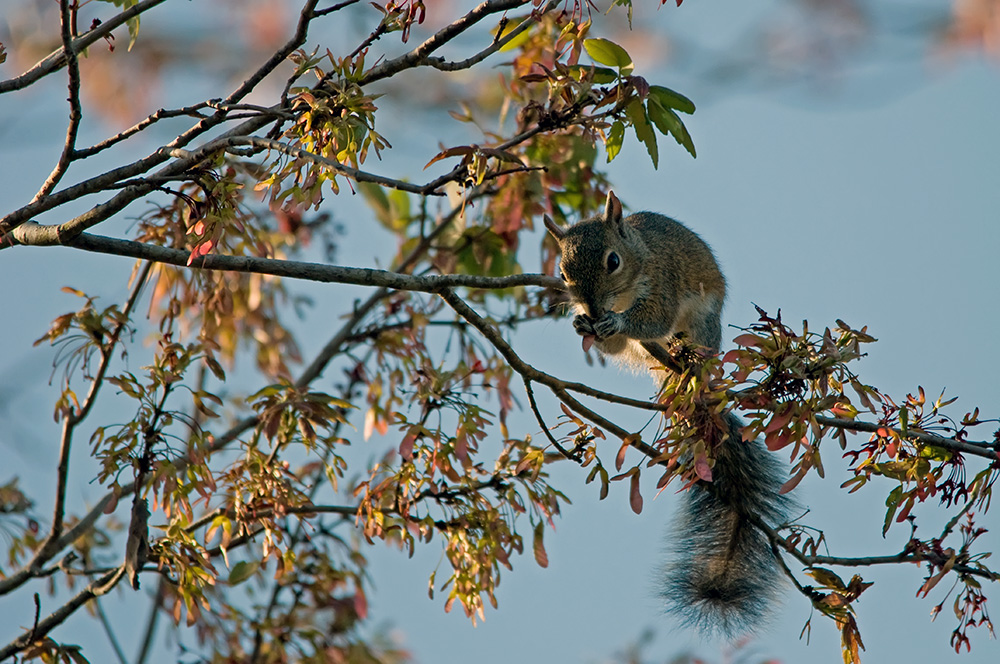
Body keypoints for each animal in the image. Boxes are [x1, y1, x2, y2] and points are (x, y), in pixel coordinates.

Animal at [548, 192, 788, 640]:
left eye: (612, 261)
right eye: (563, 271)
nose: (592, 308)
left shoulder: (664, 283)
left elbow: (652, 318)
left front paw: (617, 320)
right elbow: (612, 341)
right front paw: (580, 322)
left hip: (703, 325)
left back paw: (685, 358)